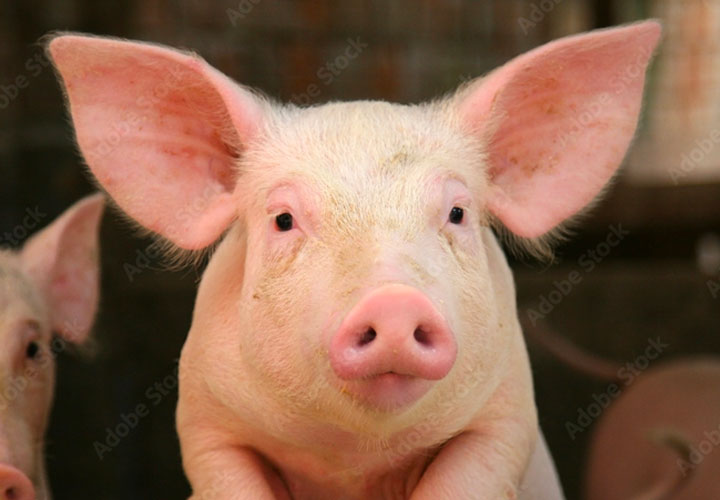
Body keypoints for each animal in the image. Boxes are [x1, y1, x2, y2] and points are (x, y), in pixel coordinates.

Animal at [46, 21, 660, 499]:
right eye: (283, 219)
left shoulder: (505, 416)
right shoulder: (206, 423)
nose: (393, 302)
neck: (355, 459)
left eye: (457, 212)